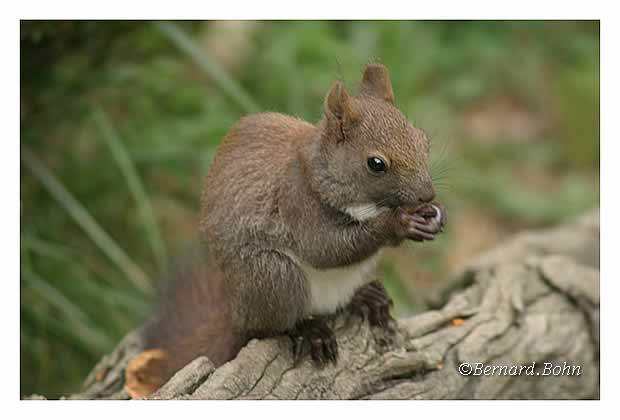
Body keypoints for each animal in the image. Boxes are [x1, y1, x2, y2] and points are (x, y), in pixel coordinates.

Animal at [124, 64, 446, 398]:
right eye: (376, 164)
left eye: (424, 141)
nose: (427, 195)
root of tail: (235, 313)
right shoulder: (295, 200)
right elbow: (325, 248)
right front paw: (399, 223)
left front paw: (432, 216)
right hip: (273, 277)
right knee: (269, 326)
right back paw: (310, 329)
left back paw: (366, 297)